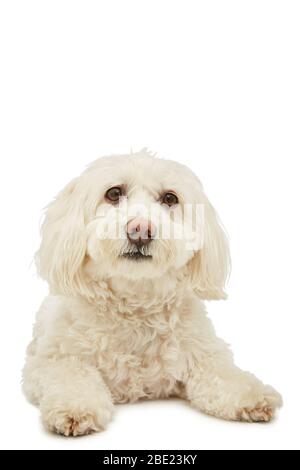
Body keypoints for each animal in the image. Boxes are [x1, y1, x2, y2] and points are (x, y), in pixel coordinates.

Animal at [22, 151, 282, 436]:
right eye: (114, 193)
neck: (135, 303)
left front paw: (251, 395)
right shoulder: (51, 360)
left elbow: (222, 373)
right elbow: (71, 374)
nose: (140, 229)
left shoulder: (203, 352)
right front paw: (76, 408)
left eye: (170, 198)